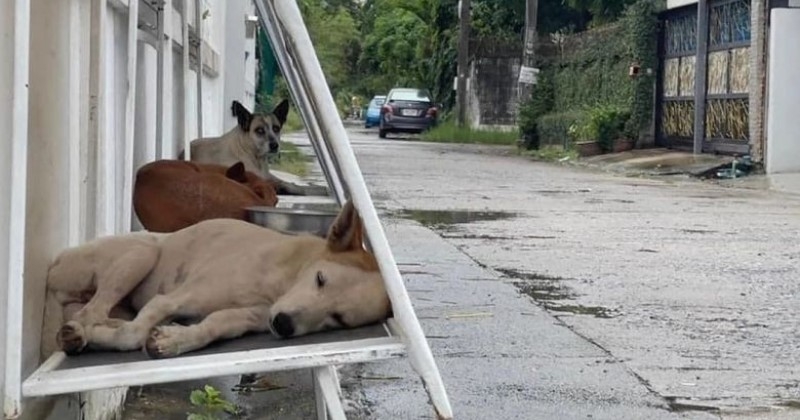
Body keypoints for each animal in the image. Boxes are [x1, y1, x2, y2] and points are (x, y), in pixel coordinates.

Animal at [44, 200, 394, 358]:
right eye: (320, 279)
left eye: (338, 319)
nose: (283, 325)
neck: (280, 281)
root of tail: (57, 262)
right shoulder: (168, 300)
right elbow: (132, 335)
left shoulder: (244, 319)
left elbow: (212, 327)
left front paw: (176, 339)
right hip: (142, 253)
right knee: (90, 312)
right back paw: (81, 332)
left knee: (95, 313)